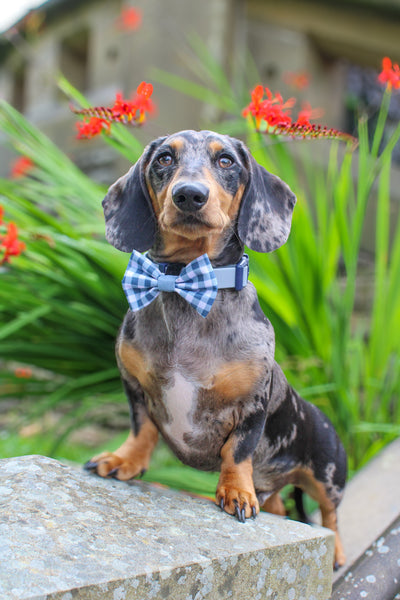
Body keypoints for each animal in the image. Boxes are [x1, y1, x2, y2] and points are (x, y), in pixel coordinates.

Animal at [85, 130, 346, 568]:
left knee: (330, 516)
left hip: (328, 473)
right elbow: (142, 430)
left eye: (226, 161)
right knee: (281, 506)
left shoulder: (252, 406)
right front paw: (124, 460)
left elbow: (237, 452)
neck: (187, 282)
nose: (189, 195)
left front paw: (236, 492)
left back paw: (337, 550)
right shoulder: (134, 387)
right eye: (164, 158)